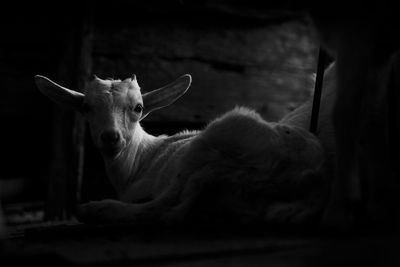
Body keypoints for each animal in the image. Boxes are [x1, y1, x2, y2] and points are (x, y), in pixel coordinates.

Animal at [34, 71, 330, 226]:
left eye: (138, 107)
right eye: (86, 107)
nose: (110, 137)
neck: (142, 159)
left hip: (214, 140)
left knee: (165, 209)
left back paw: (96, 209)